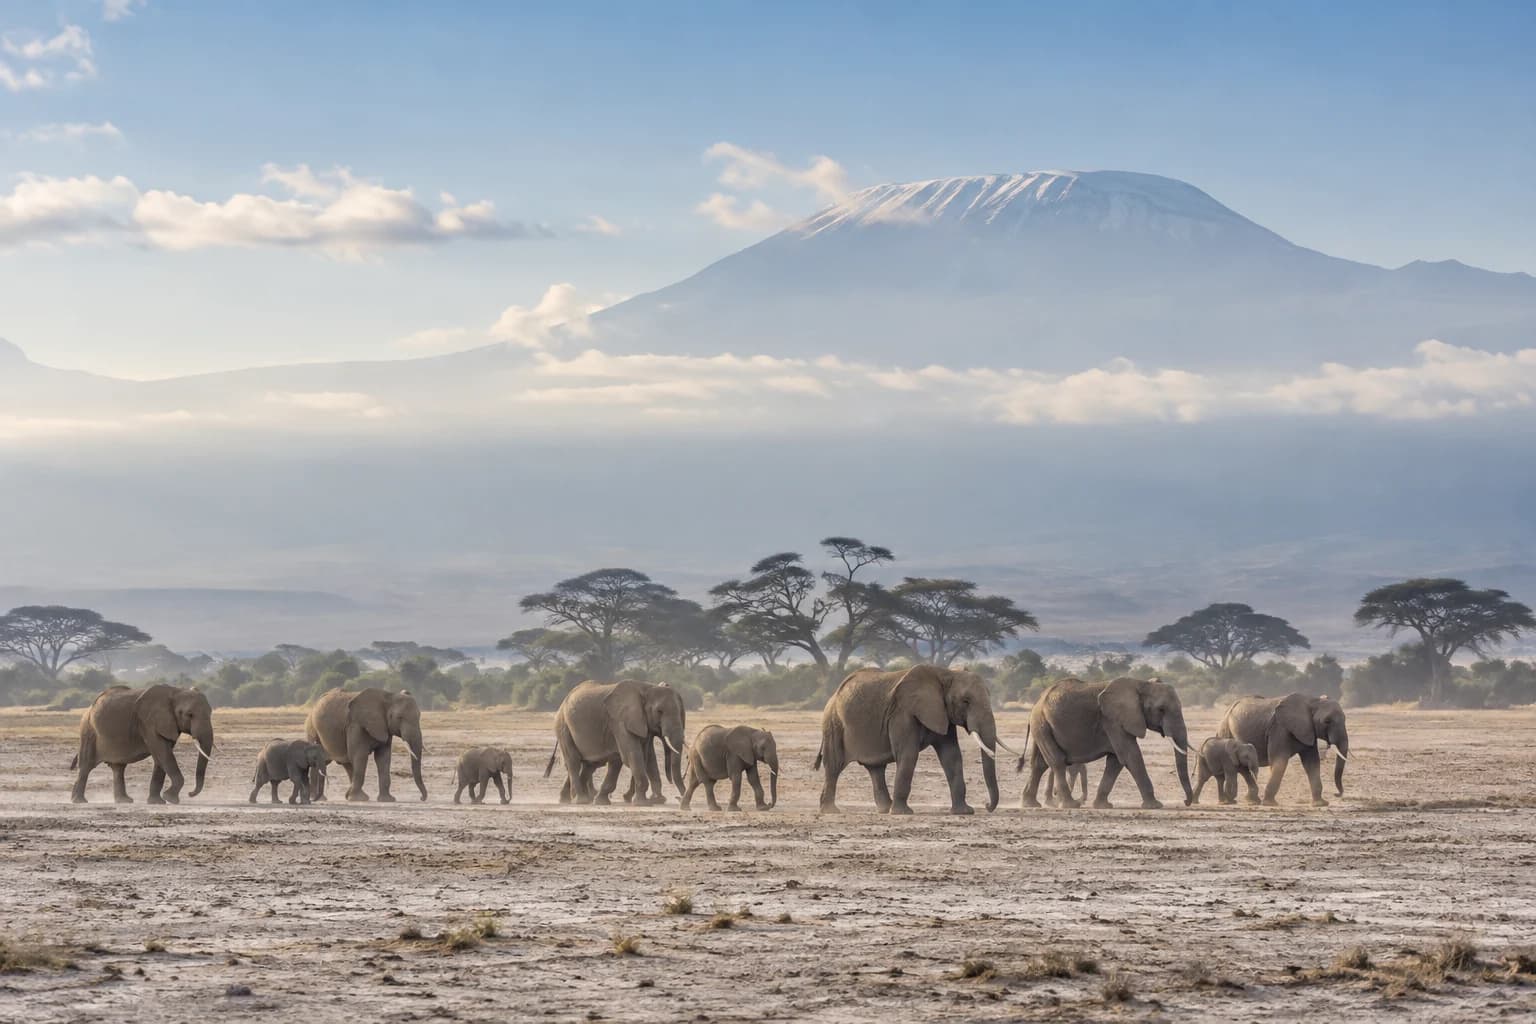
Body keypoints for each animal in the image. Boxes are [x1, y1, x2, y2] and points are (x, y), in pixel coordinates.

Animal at [69, 684, 214, 804]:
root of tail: (89, 708)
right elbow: (164, 754)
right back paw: (79, 801)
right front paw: (170, 799)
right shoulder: (148, 724)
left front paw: (157, 802)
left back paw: (124, 801)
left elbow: (161, 758)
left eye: (210, 713)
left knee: (118, 768)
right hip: (89, 731)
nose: (190, 793)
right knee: (86, 766)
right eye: (189, 714)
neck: (176, 692)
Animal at [543, 680, 686, 804]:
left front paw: (602, 801)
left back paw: (569, 799)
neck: (646, 687)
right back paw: (581, 800)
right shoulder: (620, 721)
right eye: (659, 711)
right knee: (574, 761)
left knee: (589, 764)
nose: (680, 797)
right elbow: (632, 755)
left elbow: (640, 757)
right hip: (563, 726)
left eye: (681, 711)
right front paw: (643, 803)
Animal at [815, 665, 1017, 815]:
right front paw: (902, 813)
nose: (986, 805)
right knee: (834, 767)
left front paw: (964, 812)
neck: (945, 673)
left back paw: (884, 809)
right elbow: (908, 755)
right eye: (966, 701)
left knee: (876, 769)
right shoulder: (903, 714)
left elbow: (952, 756)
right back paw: (831, 811)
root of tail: (833, 696)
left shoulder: (942, 713)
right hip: (833, 724)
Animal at [1019, 676, 1194, 810]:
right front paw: (1155, 806)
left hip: (1042, 726)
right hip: (1042, 724)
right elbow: (1131, 756)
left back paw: (1030, 804)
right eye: (1161, 709)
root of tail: (1036, 704)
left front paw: (1103, 806)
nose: (1186, 802)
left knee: (1039, 764)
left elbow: (1116, 761)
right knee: (1057, 762)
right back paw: (1071, 805)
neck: (1141, 683)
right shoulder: (1113, 721)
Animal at [1218, 693, 1349, 806]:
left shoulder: (1308, 730)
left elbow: (1312, 763)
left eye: (1345, 718)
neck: (1313, 701)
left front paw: (1320, 804)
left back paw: (1252, 801)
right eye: (1327, 721)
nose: (1337, 794)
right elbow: (1280, 761)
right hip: (1226, 730)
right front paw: (1270, 804)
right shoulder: (1279, 729)